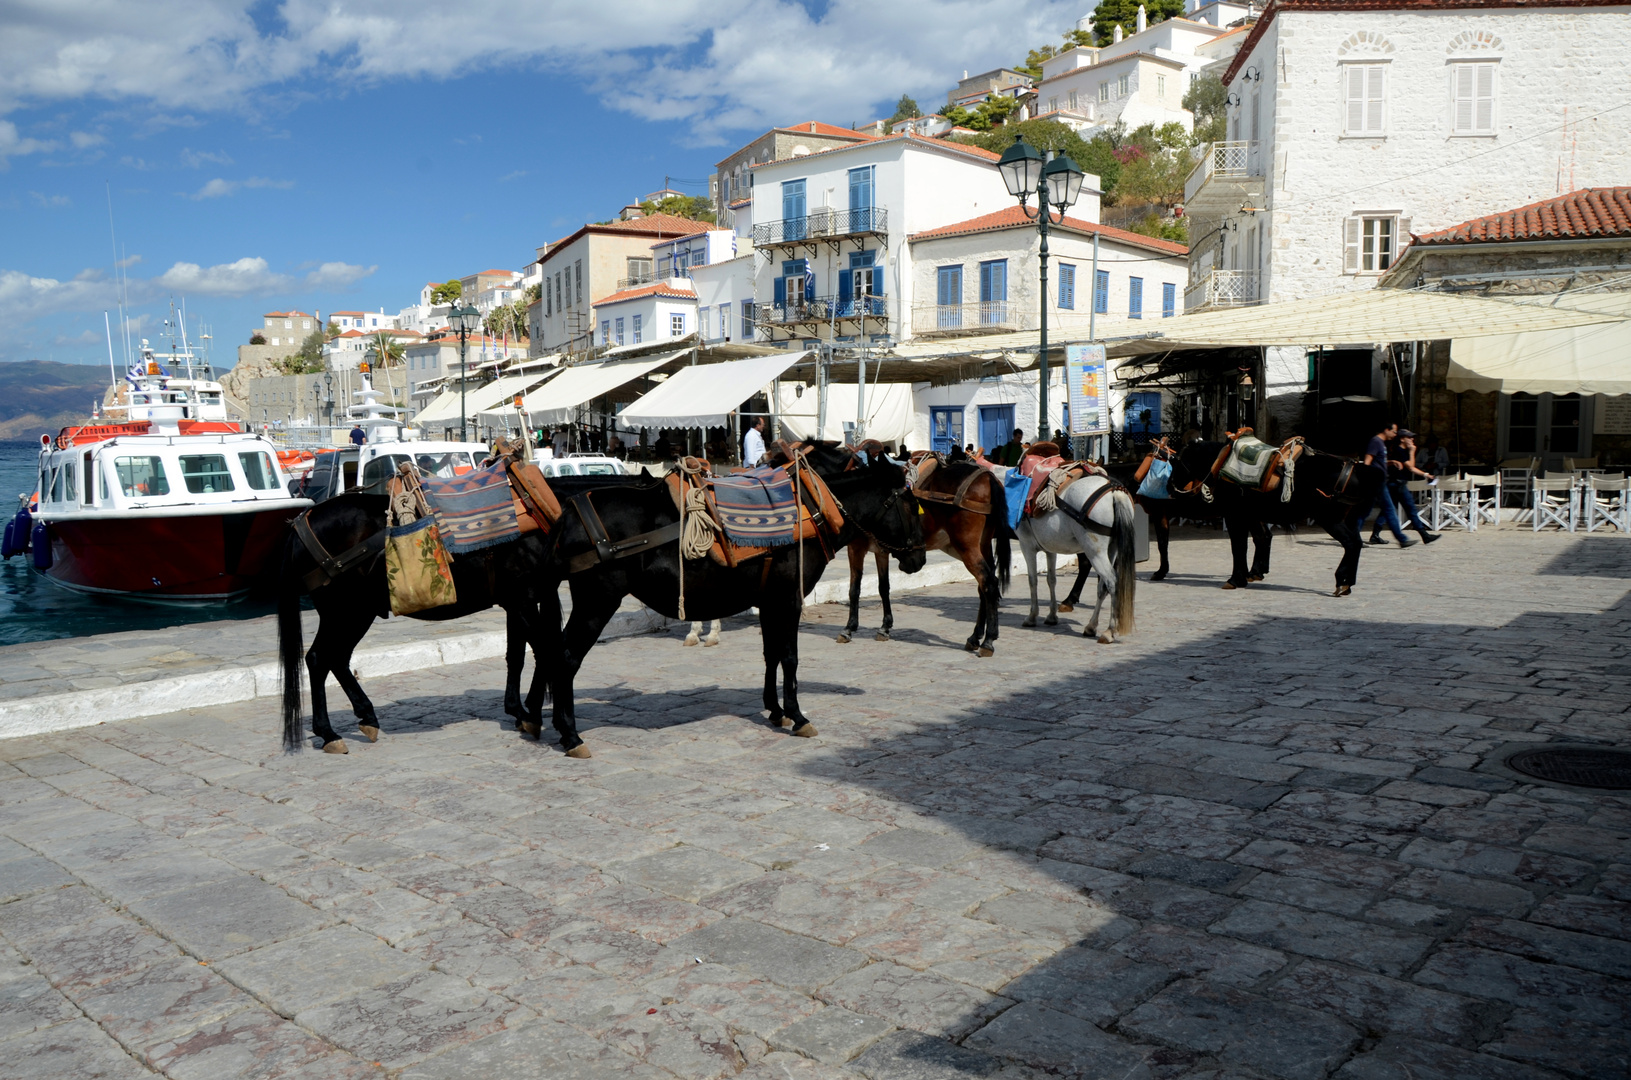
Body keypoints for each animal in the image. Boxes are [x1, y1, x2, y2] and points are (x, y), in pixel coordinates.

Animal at [1011, 473, 1141, 642]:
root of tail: (1115, 490)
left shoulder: (1026, 545)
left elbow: (1032, 581)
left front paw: (1032, 616)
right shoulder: (1050, 549)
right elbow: (1051, 580)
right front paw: (1052, 616)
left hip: (1095, 552)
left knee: (1112, 582)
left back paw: (1109, 631)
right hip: (1111, 550)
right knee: (1103, 587)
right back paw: (1091, 627)